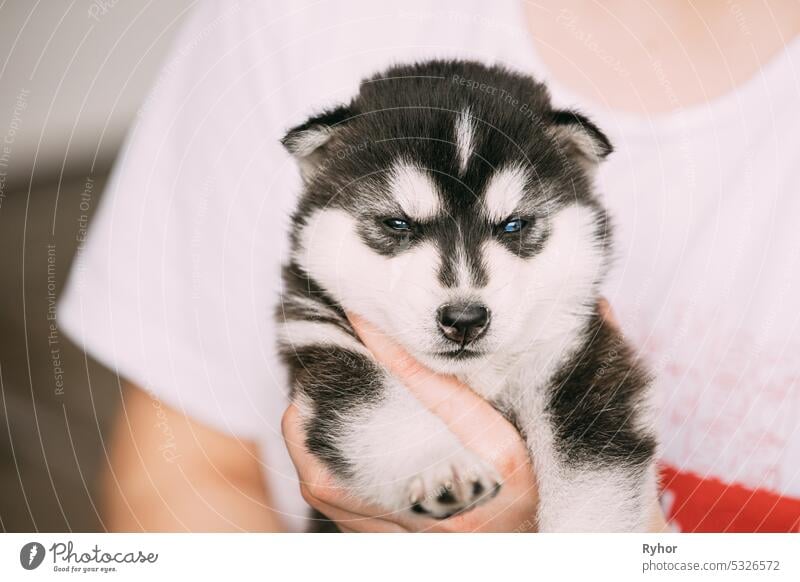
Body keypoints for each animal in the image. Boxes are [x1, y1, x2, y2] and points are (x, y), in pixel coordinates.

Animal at [276, 60, 656, 532]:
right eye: (398, 223)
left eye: (513, 225)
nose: (464, 319)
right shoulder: (322, 339)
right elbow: (380, 407)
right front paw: (442, 468)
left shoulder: (578, 361)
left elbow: (592, 489)